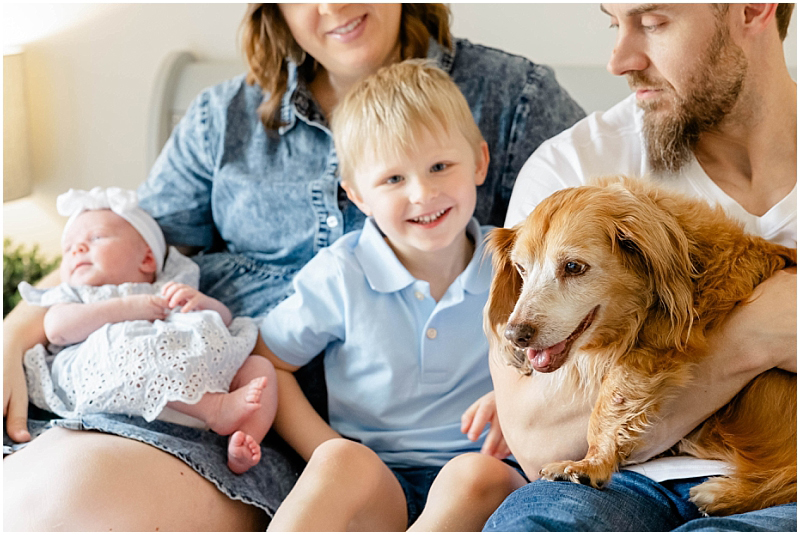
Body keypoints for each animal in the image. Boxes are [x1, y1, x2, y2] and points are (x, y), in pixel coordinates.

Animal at [484, 176, 796, 516]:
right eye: (521, 269)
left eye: (574, 267)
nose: (515, 335)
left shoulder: (651, 354)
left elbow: (608, 406)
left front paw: (592, 464)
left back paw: (723, 494)